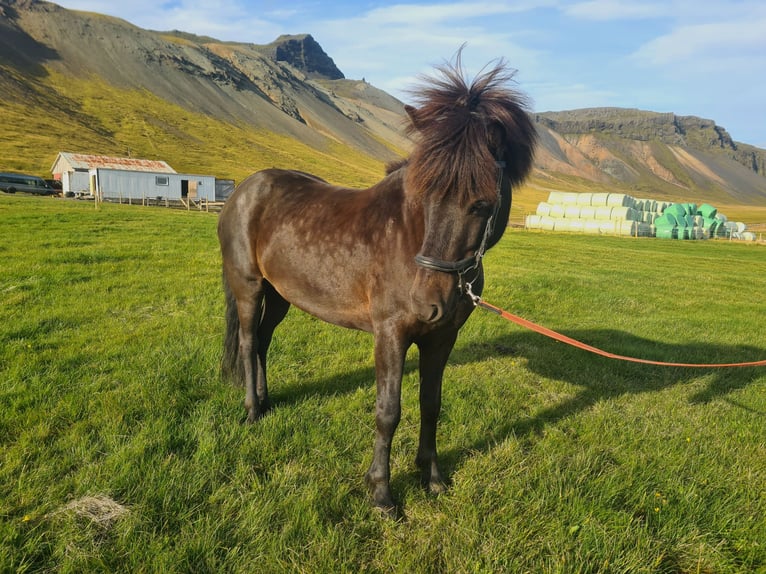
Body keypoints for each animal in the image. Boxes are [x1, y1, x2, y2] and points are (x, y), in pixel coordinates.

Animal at [218, 53, 540, 512]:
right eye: (423, 194)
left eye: (482, 204)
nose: (428, 302)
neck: (408, 233)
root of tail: (244, 189)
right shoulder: (391, 334)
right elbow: (388, 411)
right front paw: (382, 492)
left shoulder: (442, 337)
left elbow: (431, 404)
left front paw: (432, 476)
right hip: (249, 286)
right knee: (247, 343)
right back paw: (250, 411)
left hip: (281, 295)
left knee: (263, 340)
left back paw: (265, 402)